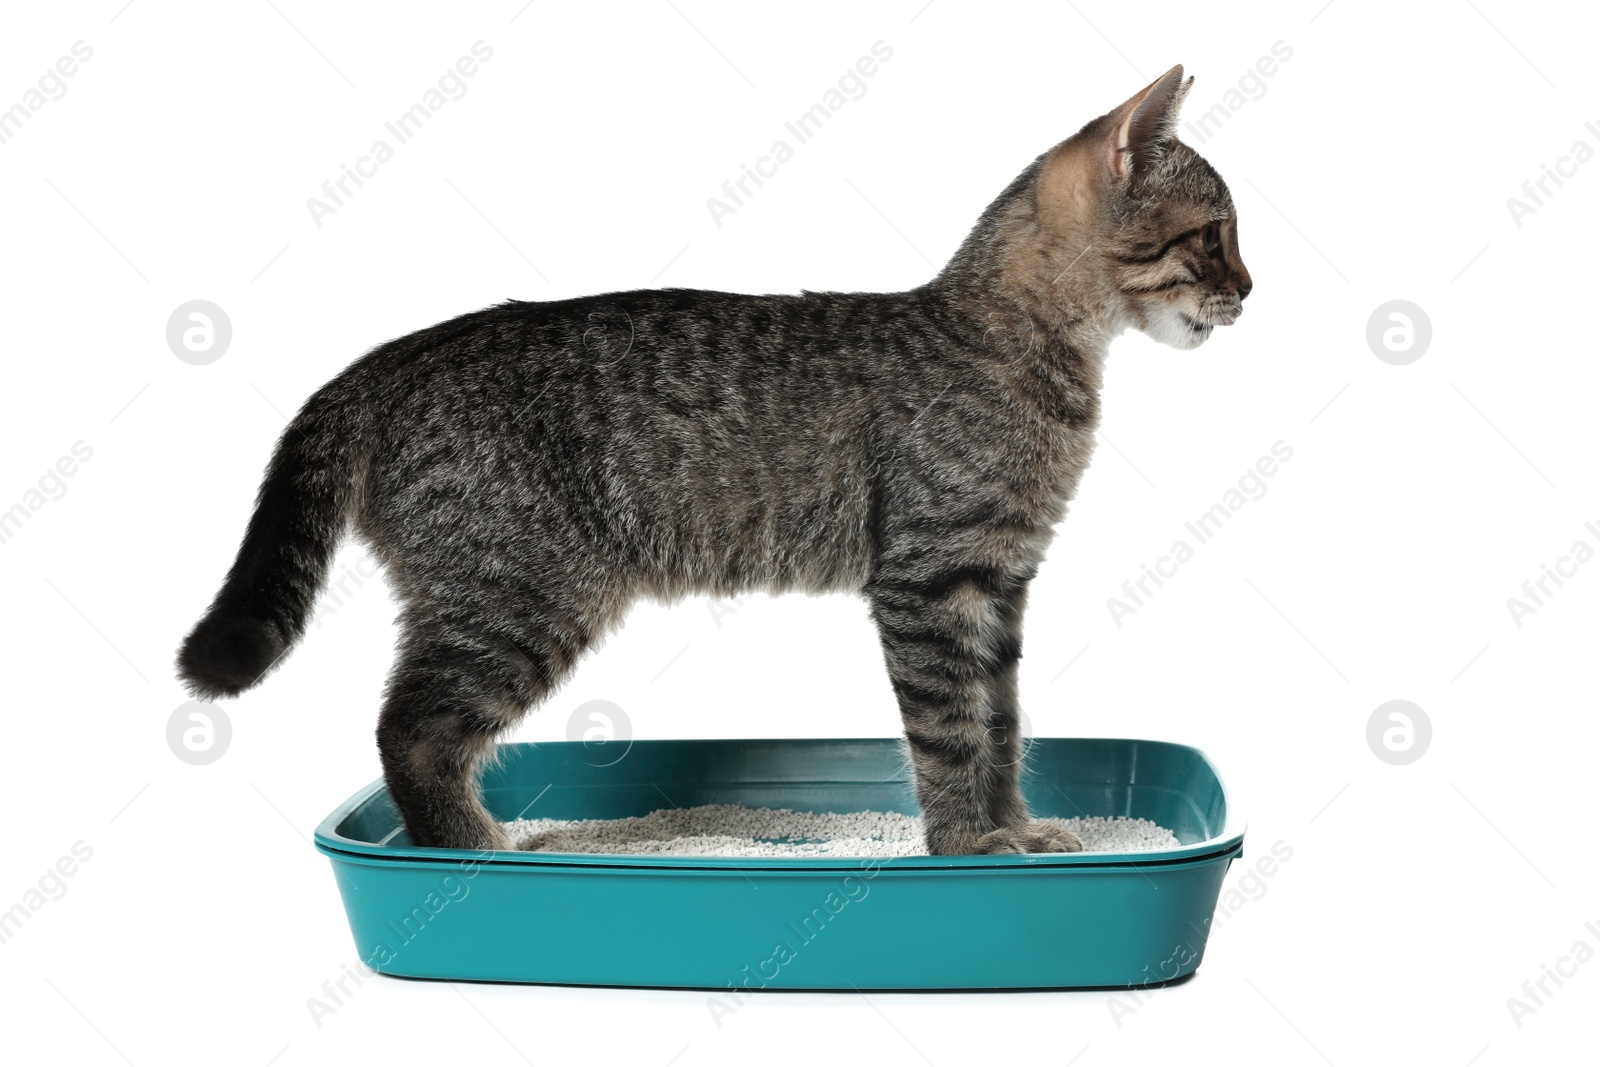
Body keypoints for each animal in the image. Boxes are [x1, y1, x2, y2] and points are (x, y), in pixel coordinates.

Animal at [175, 62, 1248, 857]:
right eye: (1214, 235)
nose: (1250, 287)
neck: (1020, 339)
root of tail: (387, 358)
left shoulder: (999, 581)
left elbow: (1003, 725)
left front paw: (1013, 826)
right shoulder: (930, 578)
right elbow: (951, 727)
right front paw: (966, 846)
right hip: (520, 597)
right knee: (411, 730)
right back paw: (477, 850)